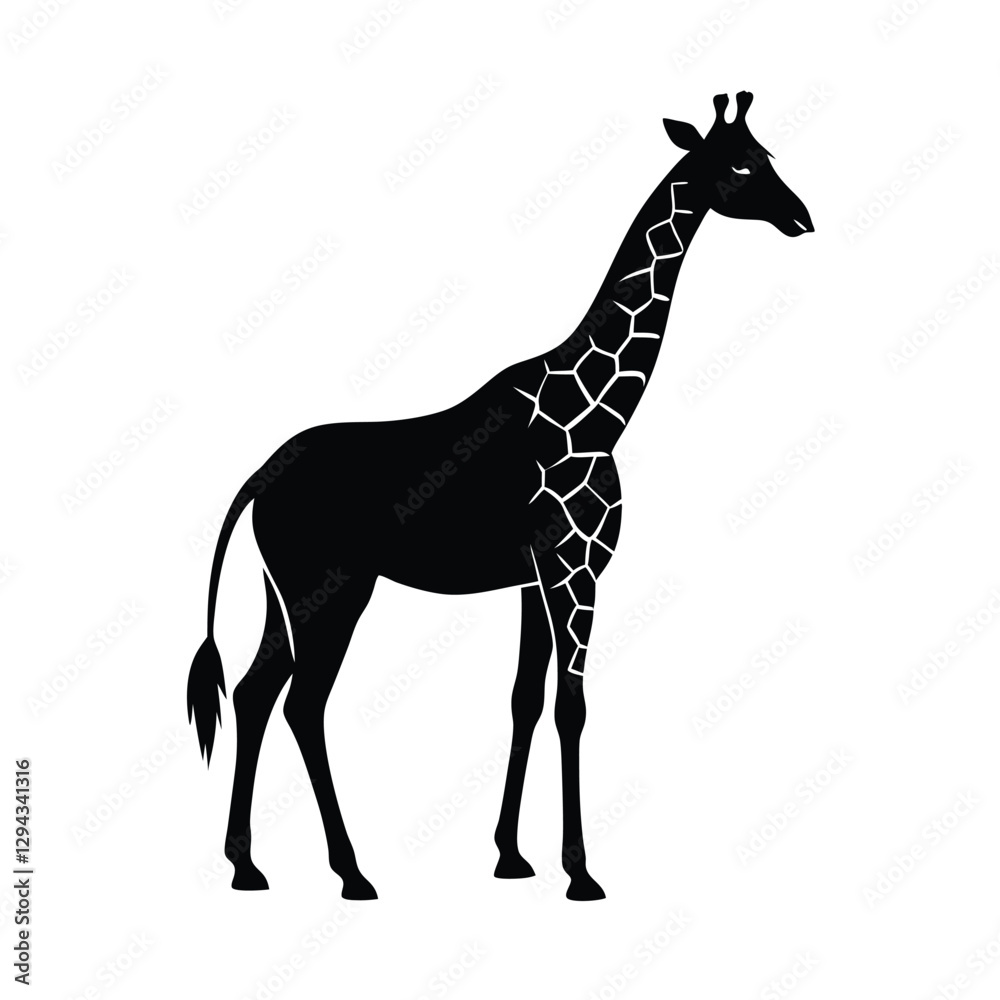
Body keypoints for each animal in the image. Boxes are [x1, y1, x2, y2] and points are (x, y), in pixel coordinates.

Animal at [187, 91, 813, 902]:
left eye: (768, 156)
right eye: (738, 166)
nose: (802, 216)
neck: (602, 411)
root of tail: (258, 477)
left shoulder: (535, 578)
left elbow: (524, 700)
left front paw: (512, 857)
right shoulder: (575, 568)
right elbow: (572, 706)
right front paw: (581, 872)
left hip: (285, 586)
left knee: (255, 691)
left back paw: (247, 866)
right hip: (335, 585)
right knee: (302, 702)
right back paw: (351, 872)